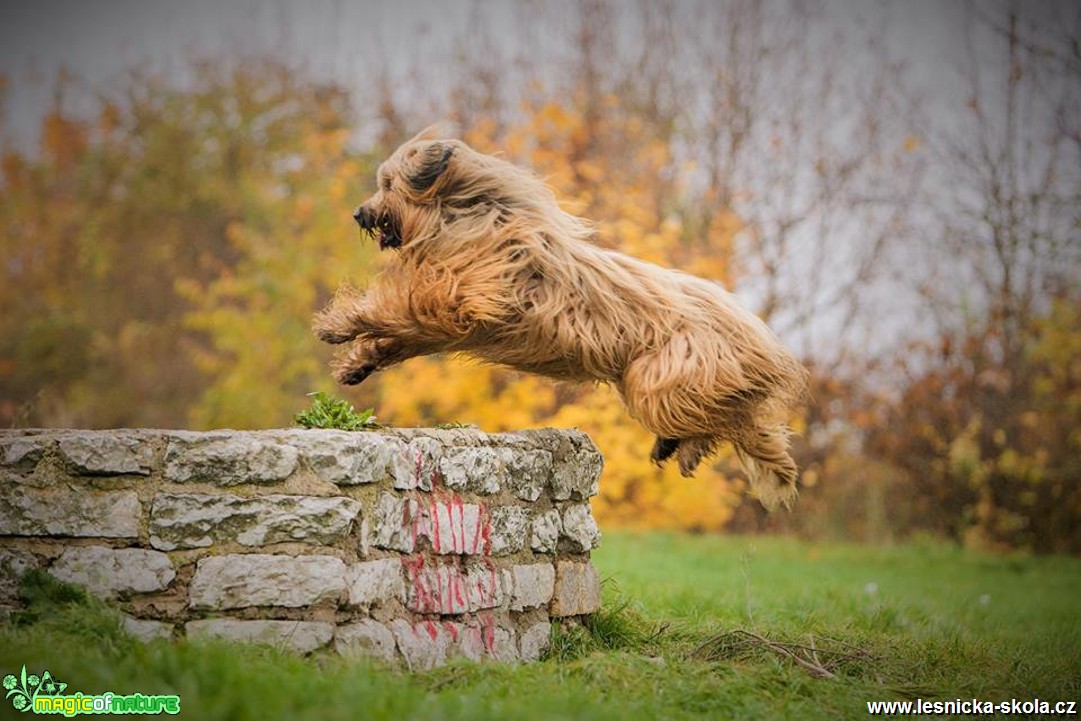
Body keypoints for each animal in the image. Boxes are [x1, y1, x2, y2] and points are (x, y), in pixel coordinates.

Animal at [315, 127, 808, 508]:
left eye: (388, 183)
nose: (360, 213)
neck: (465, 214)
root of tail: (758, 332)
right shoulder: (445, 321)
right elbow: (398, 335)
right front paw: (356, 364)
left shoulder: (463, 301)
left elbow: (395, 307)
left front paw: (338, 324)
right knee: (738, 420)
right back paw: (679, 447)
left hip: (663, 377)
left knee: (730, 420)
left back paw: (687, 448)